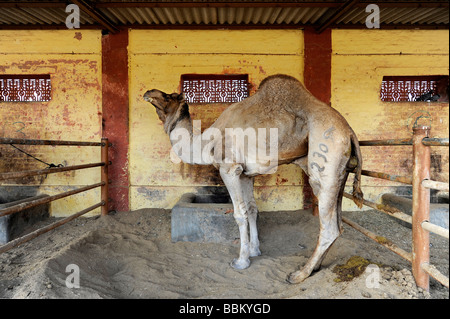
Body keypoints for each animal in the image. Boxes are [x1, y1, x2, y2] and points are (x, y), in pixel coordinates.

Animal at [146, 75, 364, 284]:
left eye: (169, 96)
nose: (149, 92)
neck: (208, 143)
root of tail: (349, 131)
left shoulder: (229, 168)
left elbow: (239, 214)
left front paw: (241, 261)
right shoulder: (245, 174)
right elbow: (252, 209)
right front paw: (254, 250)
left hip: (326, 161)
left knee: (330, 227)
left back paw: (298, 274)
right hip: (341, 173)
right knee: (338, 223)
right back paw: (315, 267)